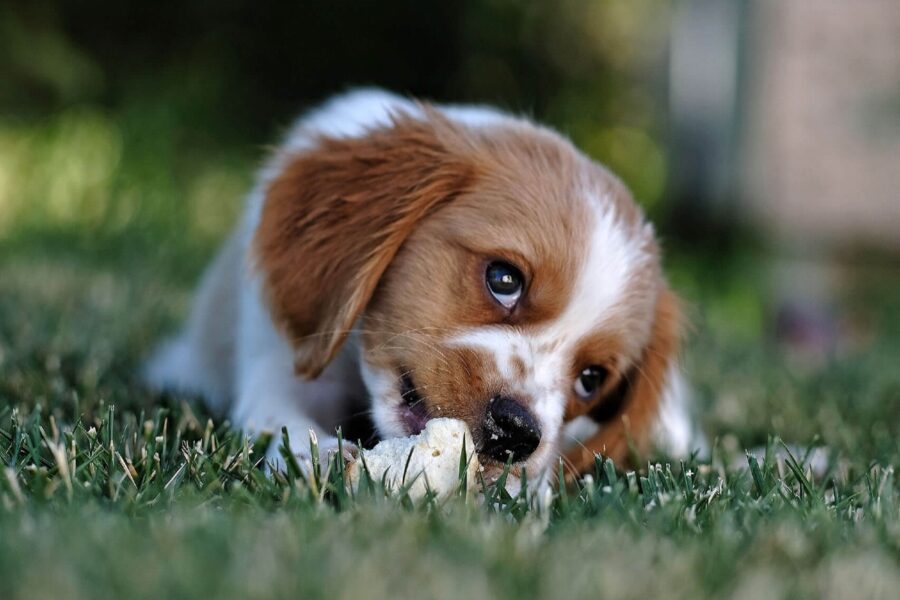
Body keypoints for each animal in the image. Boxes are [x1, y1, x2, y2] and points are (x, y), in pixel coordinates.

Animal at [142, 89, 704, 480]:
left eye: (591, 379)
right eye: (503, 278)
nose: (517, 433)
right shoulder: (278, 362)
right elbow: (282, 417)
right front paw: (324, 455)